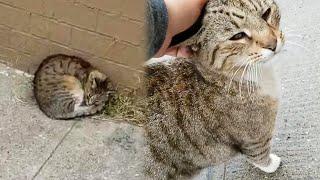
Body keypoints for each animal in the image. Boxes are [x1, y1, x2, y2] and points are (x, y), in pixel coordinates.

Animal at [145, 0, 284, 179]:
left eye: (266, 13)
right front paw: (271, 164)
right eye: (237, 36)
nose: (273, 44)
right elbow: (259, 156)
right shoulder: (254, 139)